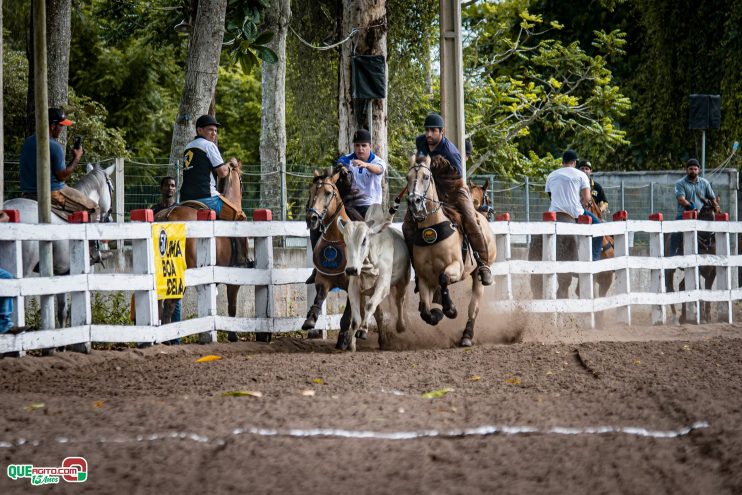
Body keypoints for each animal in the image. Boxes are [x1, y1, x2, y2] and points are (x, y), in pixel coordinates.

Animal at [2, 165, 115, 332]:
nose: (110, 218)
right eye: (111, 188)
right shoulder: (68, 273)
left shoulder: (58, 273)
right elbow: (66, 310)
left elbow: (61, 310)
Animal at [306, 167, 358, 348]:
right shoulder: (323, 280)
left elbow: (348, 315)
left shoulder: (352, 285)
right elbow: (318, 300)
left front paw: (344, 339)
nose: (312, 218)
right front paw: (310, 320)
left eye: (328, 193)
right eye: (312, 191)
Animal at [338, 205, 412, 352]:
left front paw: (363, 331)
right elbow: (355, 319)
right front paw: (351, 343)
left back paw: (400, 326)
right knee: (379, 313)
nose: (351, 270)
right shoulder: (354, 288)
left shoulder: (383, 286)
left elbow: (370, 305)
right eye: (345, 242)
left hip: (403, 281)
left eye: (364, 240)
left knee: (399, 301)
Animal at [406, 156, 500, 348]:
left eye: (426, 176)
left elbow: (443, 278)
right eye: (407, 177)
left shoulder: (456, 267)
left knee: (473, 308)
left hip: (478, 275)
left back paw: (466, 336)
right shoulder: (424, 278)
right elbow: (425, 311)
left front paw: (450, 309)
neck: (432, 230)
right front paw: (437, 313)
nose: (413, 202)